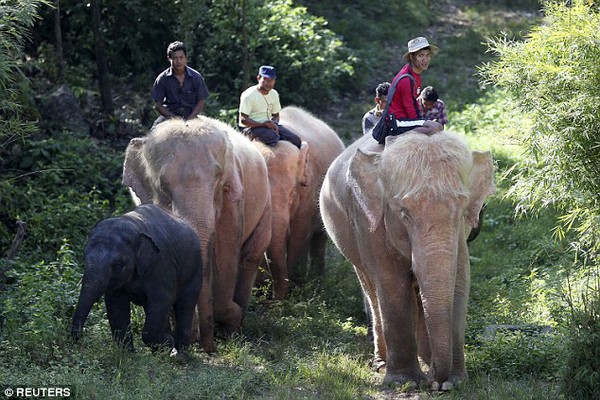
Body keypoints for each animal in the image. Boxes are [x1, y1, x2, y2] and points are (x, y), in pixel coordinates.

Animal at [71, 205, 203, 352]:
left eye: (117, 265)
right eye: (84, 259)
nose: (79, 339)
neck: (134, 225)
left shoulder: (162, 264)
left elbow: (163, 299)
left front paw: (167, 343)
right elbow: (115, 304)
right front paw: (128, 354)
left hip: (195, 269)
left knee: (185, 306)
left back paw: (180, 354)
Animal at [122, 116, 272, 354]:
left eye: (219, 179)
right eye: (162, 185)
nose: (208, 347)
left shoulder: (232, 201)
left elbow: (225, 256)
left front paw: (227, 325)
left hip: (265, 205)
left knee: (249, 257)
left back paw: (236, 327)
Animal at [252, 107, 344, 300]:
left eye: (293, 195)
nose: (275, 298)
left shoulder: (308, 194)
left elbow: (300, 234)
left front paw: (295, 289)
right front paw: (260, 292)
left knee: (319, 238)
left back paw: (318, 279)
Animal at [322, 132, 494, 390]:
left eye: (463, 211)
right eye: (404, 214)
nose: (435, 380)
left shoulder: (460, 239)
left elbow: (459, 283)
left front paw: (452, 383)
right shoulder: (370, 224)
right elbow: (392, 283)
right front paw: (407, 383)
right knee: (372, 291)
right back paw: (382, 364)